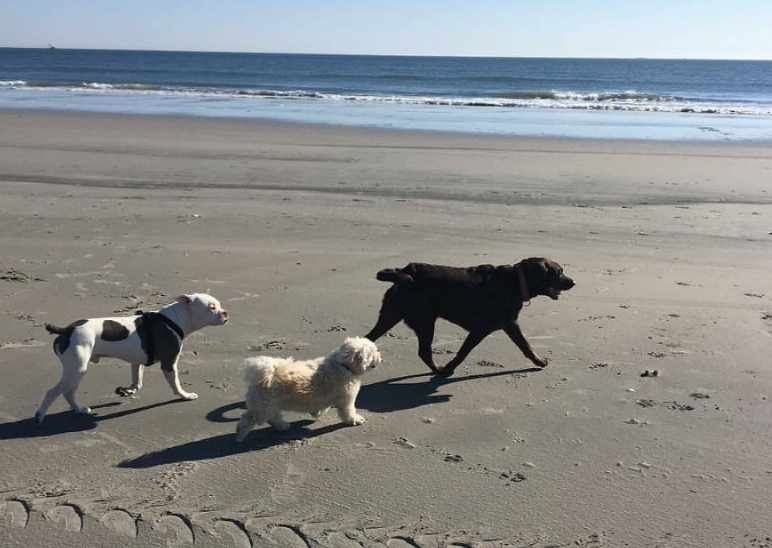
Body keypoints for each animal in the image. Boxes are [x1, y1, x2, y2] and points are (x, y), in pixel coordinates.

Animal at [35, 296, 228, 424]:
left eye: (219, 304)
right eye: (212, 307)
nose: (225, 313)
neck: (176, 319)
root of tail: (66, 330)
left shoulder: (137, 361)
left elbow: (137, 381)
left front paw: (128, 391)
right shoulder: (169, 363)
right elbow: (176, 383)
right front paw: (184, 395)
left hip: (77, 370)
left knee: (68, 392)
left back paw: (79, 410)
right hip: (76, 370)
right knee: (52, 392)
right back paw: (40, 415)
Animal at [235, 336, 380, 444]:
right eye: (372, 353)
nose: (380, 356)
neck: (343, 365)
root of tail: (263, 373)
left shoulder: (322, 398)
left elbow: (322, 407)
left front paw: (316, 413)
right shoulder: (347, 399)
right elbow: (349, 412)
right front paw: (355, 420)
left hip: (270, 405)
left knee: (273, 417)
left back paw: (283, 426)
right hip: (263, 407)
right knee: (248, 418)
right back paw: (240, 436)